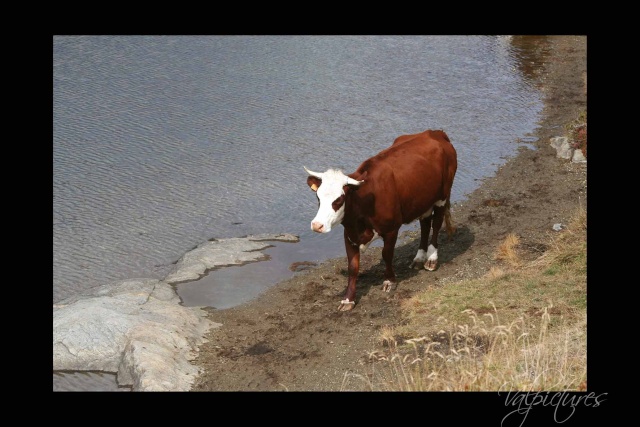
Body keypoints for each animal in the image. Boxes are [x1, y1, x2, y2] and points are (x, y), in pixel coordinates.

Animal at [304, 129, 456, 312]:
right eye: (318, 197)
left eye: (339, 199)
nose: (317, 225)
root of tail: (434, 132)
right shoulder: (349, 235)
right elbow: (352, 267)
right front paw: (348, 299)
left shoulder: (391, 229)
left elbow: (387, 254)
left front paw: (389, 281)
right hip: (423, 201)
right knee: (425, 225)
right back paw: (419, 258)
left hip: (442, 196)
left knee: (437, 223)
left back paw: (432, 259)